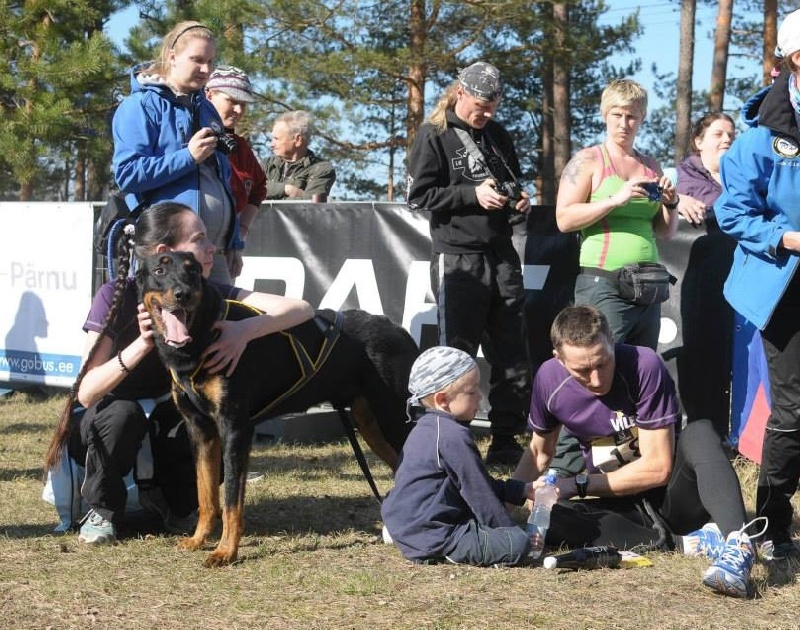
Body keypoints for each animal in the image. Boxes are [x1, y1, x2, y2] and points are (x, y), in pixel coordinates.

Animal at [136, 252, 418, 568]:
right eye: (159, 270)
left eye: (193, 272)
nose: (182, 294)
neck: (203, 335)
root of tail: (397, 329)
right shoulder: (200, 429)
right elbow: (205, 493)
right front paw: (199, 540)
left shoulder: (234, 427)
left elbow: (231, 498)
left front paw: (226, 551)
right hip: (371, 424)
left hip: (393, 418)